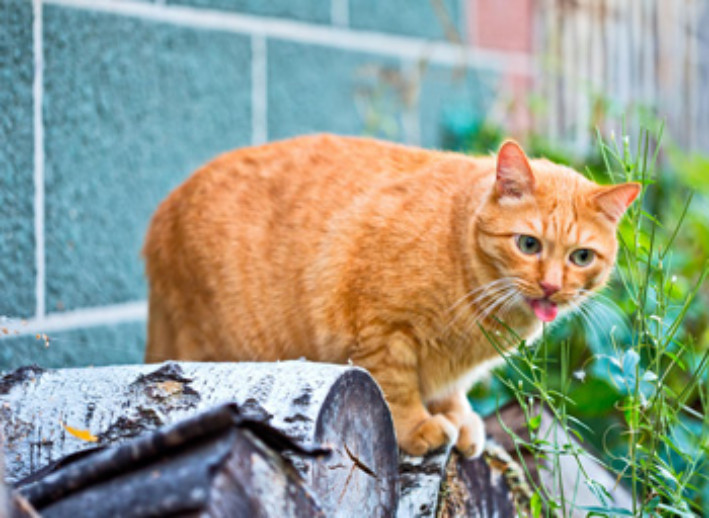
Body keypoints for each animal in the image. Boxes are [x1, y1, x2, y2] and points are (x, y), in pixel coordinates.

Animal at [144, 135, 640, 460]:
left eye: (581, 256)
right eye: (529, 244)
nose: (553, 286)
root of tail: (161, 215)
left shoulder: (451, 367)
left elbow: (452, 392)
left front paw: (459, 418)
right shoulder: (382, 331)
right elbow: (396, 387)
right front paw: (417, 427)